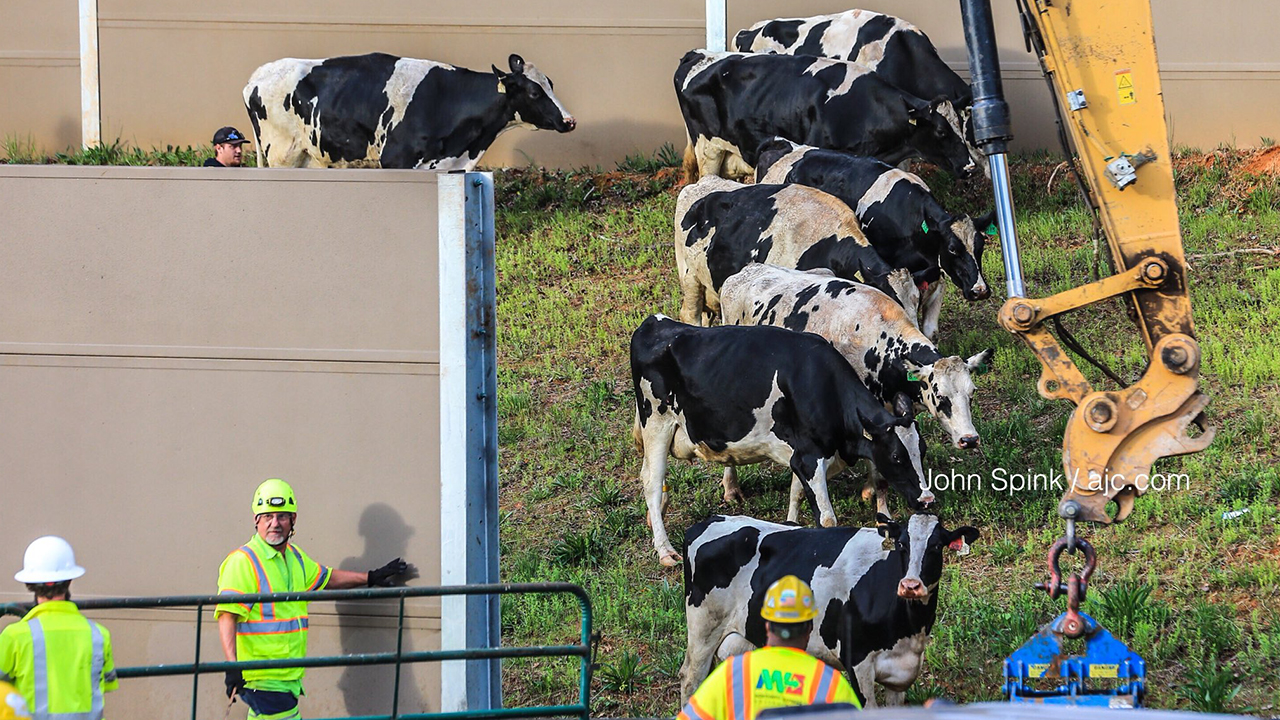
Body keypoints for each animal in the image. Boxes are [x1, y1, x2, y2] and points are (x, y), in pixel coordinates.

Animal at [243, 53, 575, 170]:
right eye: (534, 92)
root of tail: (256, 75)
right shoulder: (396, 161)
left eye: (551, 84)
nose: (569, 121)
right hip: (280, 156)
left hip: (310, 157)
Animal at [630, 315, 931, 567]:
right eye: (897, 457)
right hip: (656, 423)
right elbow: (827, 518)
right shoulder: (810, 458)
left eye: (923, 451)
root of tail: (655, 322)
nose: (927, 499)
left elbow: (796, 494)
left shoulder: (800, 454)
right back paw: (665, 550)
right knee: (652, 481)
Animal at [681, 514, 979, 708]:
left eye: (937, 546)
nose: (910, 585)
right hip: (704, 627)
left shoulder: (900, 673)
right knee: (690, 679)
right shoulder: (857, 662)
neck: (908, 628)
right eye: (901, 544)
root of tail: (707, 521)